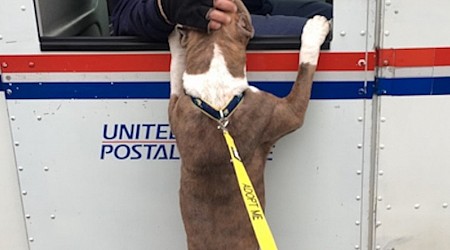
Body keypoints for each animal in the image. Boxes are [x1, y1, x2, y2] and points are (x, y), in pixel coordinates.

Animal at [167, 1, 328, 248]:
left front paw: (175, 41)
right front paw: (314, 31)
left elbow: (176, 74)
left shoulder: (177, 109)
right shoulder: (289, 112)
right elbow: (305, 69)